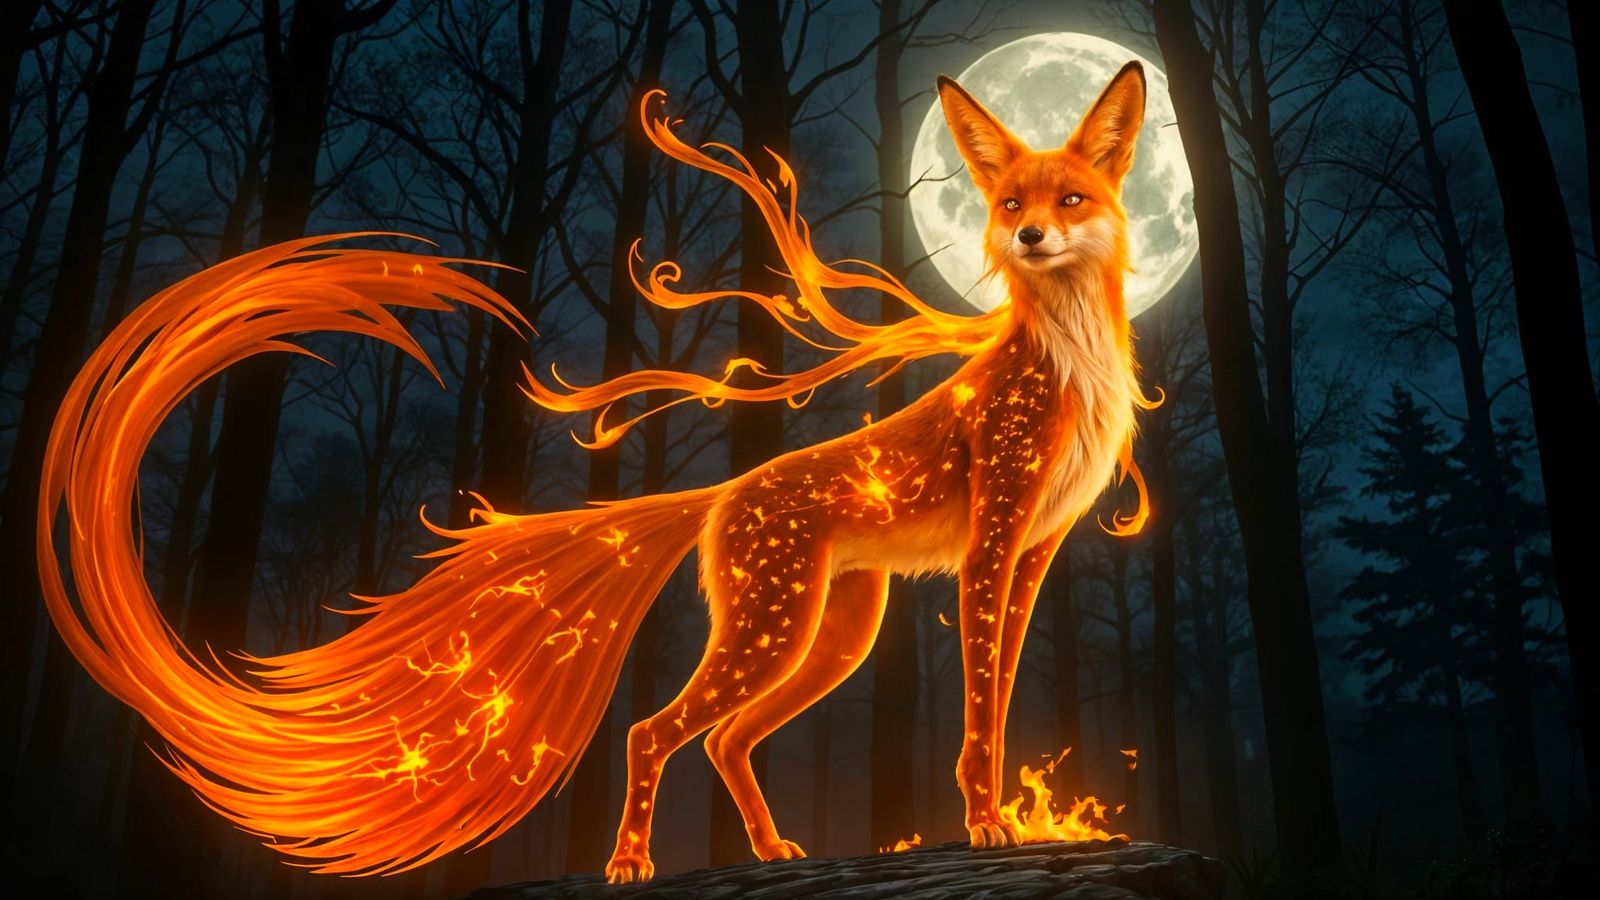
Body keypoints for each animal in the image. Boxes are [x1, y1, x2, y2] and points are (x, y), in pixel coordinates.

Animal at [35, 63, 1153, 884]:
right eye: (1008, 201)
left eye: (1070, 198)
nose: (1030, 235)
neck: (1070, 365)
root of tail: (721, 493)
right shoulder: (992, 542)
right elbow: (978, 716)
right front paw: (989, 824)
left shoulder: (1032, 552)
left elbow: (993, 704)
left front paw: (1006, 819)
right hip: (782, 633)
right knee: (653, 734)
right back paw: (629, 864)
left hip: (829, 639)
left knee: (721, 742)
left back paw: (766, 850)